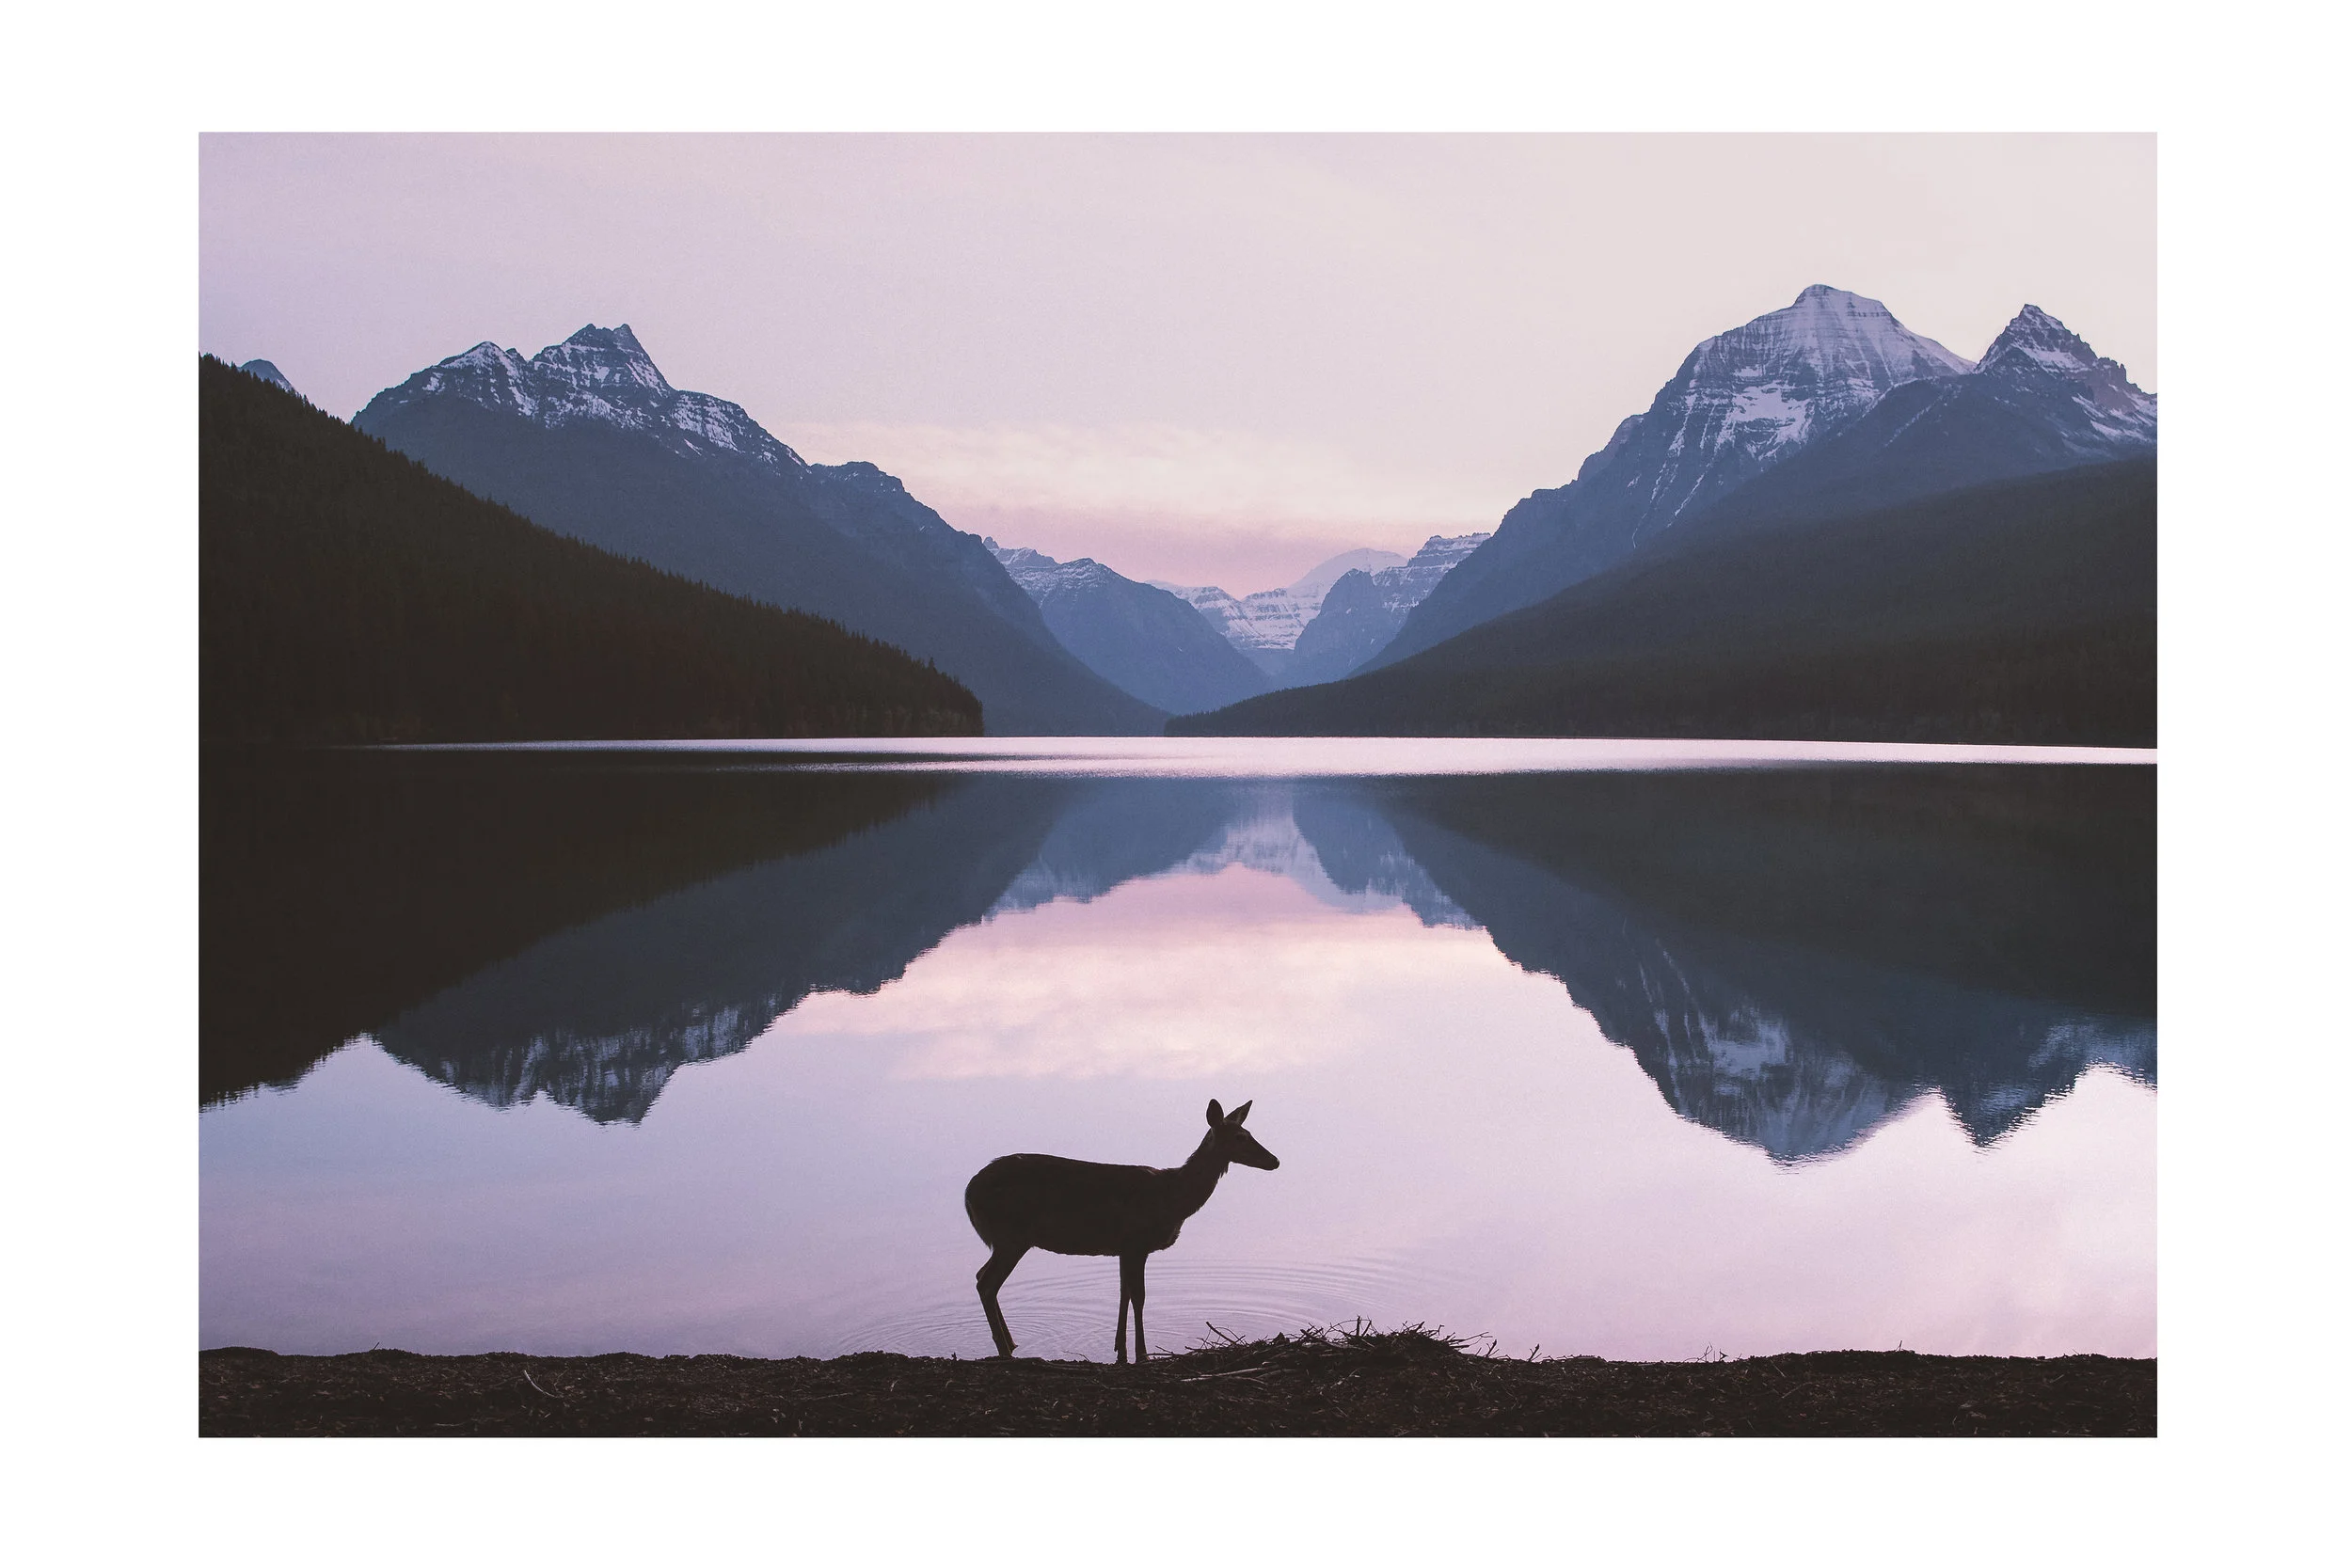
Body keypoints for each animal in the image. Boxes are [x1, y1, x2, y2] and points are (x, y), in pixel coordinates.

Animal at [965, 1098, 1280, 1365]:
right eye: (1240, 1137)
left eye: (1249, 1132)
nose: (1275, 1160)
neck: (1173, 1199)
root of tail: (968, 1194)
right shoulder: (1136, 1241)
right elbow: (1139, 1297)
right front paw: (1142, 1355)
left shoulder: (1122, 1248)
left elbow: (1123, 1293)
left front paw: (1120, 1350)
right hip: (1011, 1235)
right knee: (987, 1283)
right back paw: (1005, 1351)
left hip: (1008, 1239)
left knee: (981, 1276)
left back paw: (1011, 1343)